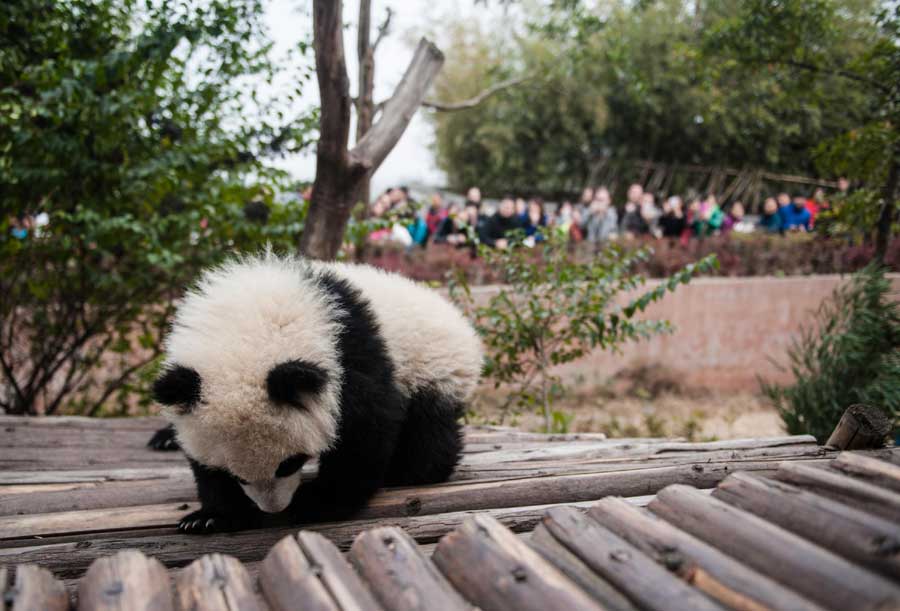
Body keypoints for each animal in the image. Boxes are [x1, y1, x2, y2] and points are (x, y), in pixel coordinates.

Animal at [147, 253, 483, 533]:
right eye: (236, 475)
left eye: (289, 463)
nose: (274, 508)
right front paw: (211, 517)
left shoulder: (348, 351)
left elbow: (364, 430)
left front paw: (317, 502)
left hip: (431, 366)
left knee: (428, 429)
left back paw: (408, 471)